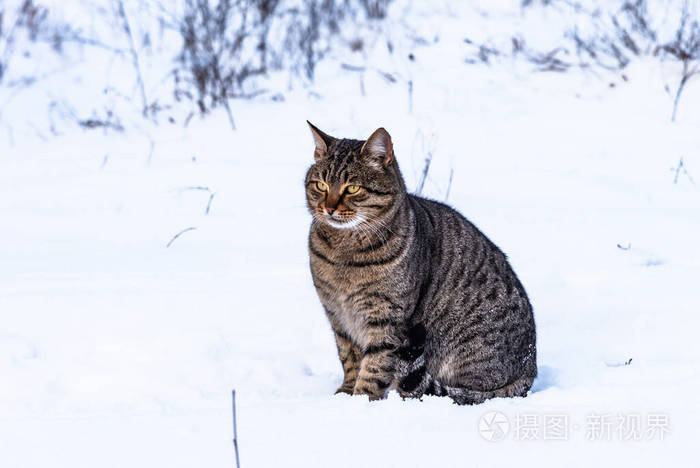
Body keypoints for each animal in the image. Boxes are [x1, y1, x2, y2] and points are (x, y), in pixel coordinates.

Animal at [304, 122, 540, 404]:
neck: (343, 251)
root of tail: (530, 367)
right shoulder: (337, 316)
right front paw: (345, 393)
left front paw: (360, 400)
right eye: (320, 185)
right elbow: (349, 358)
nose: (328, 208)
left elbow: (374, 366)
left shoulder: (387, 317)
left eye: (352, 188)